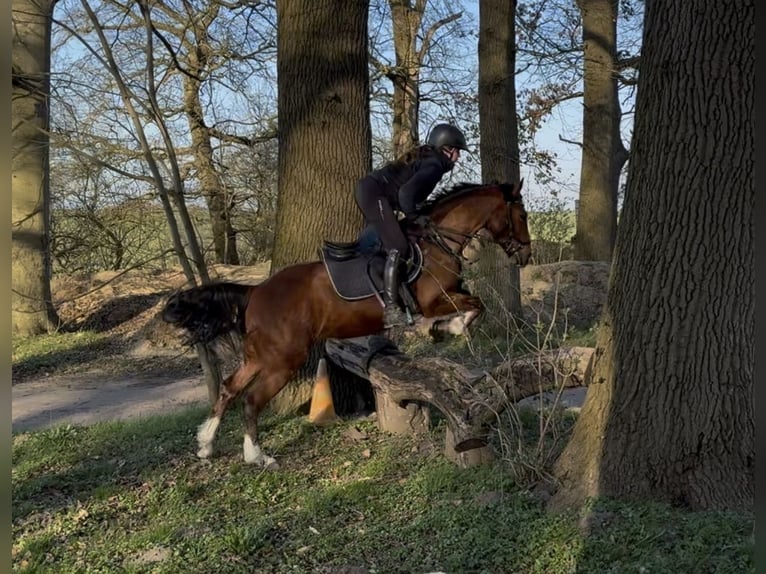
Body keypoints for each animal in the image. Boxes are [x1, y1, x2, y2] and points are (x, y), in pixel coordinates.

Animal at [161, 181, 532, 468]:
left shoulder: (450, 293)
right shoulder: (434, 300)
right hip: (283, 359)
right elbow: (475, 305)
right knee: (251, 400)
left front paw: (443, 329)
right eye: (523, 216)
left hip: (259, 356)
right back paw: (257, 457)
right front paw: (445, 329)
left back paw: (206, 444)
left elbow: (474, 303)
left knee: (228, 388)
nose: (525, 256)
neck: (438, 239)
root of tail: (255, 291)